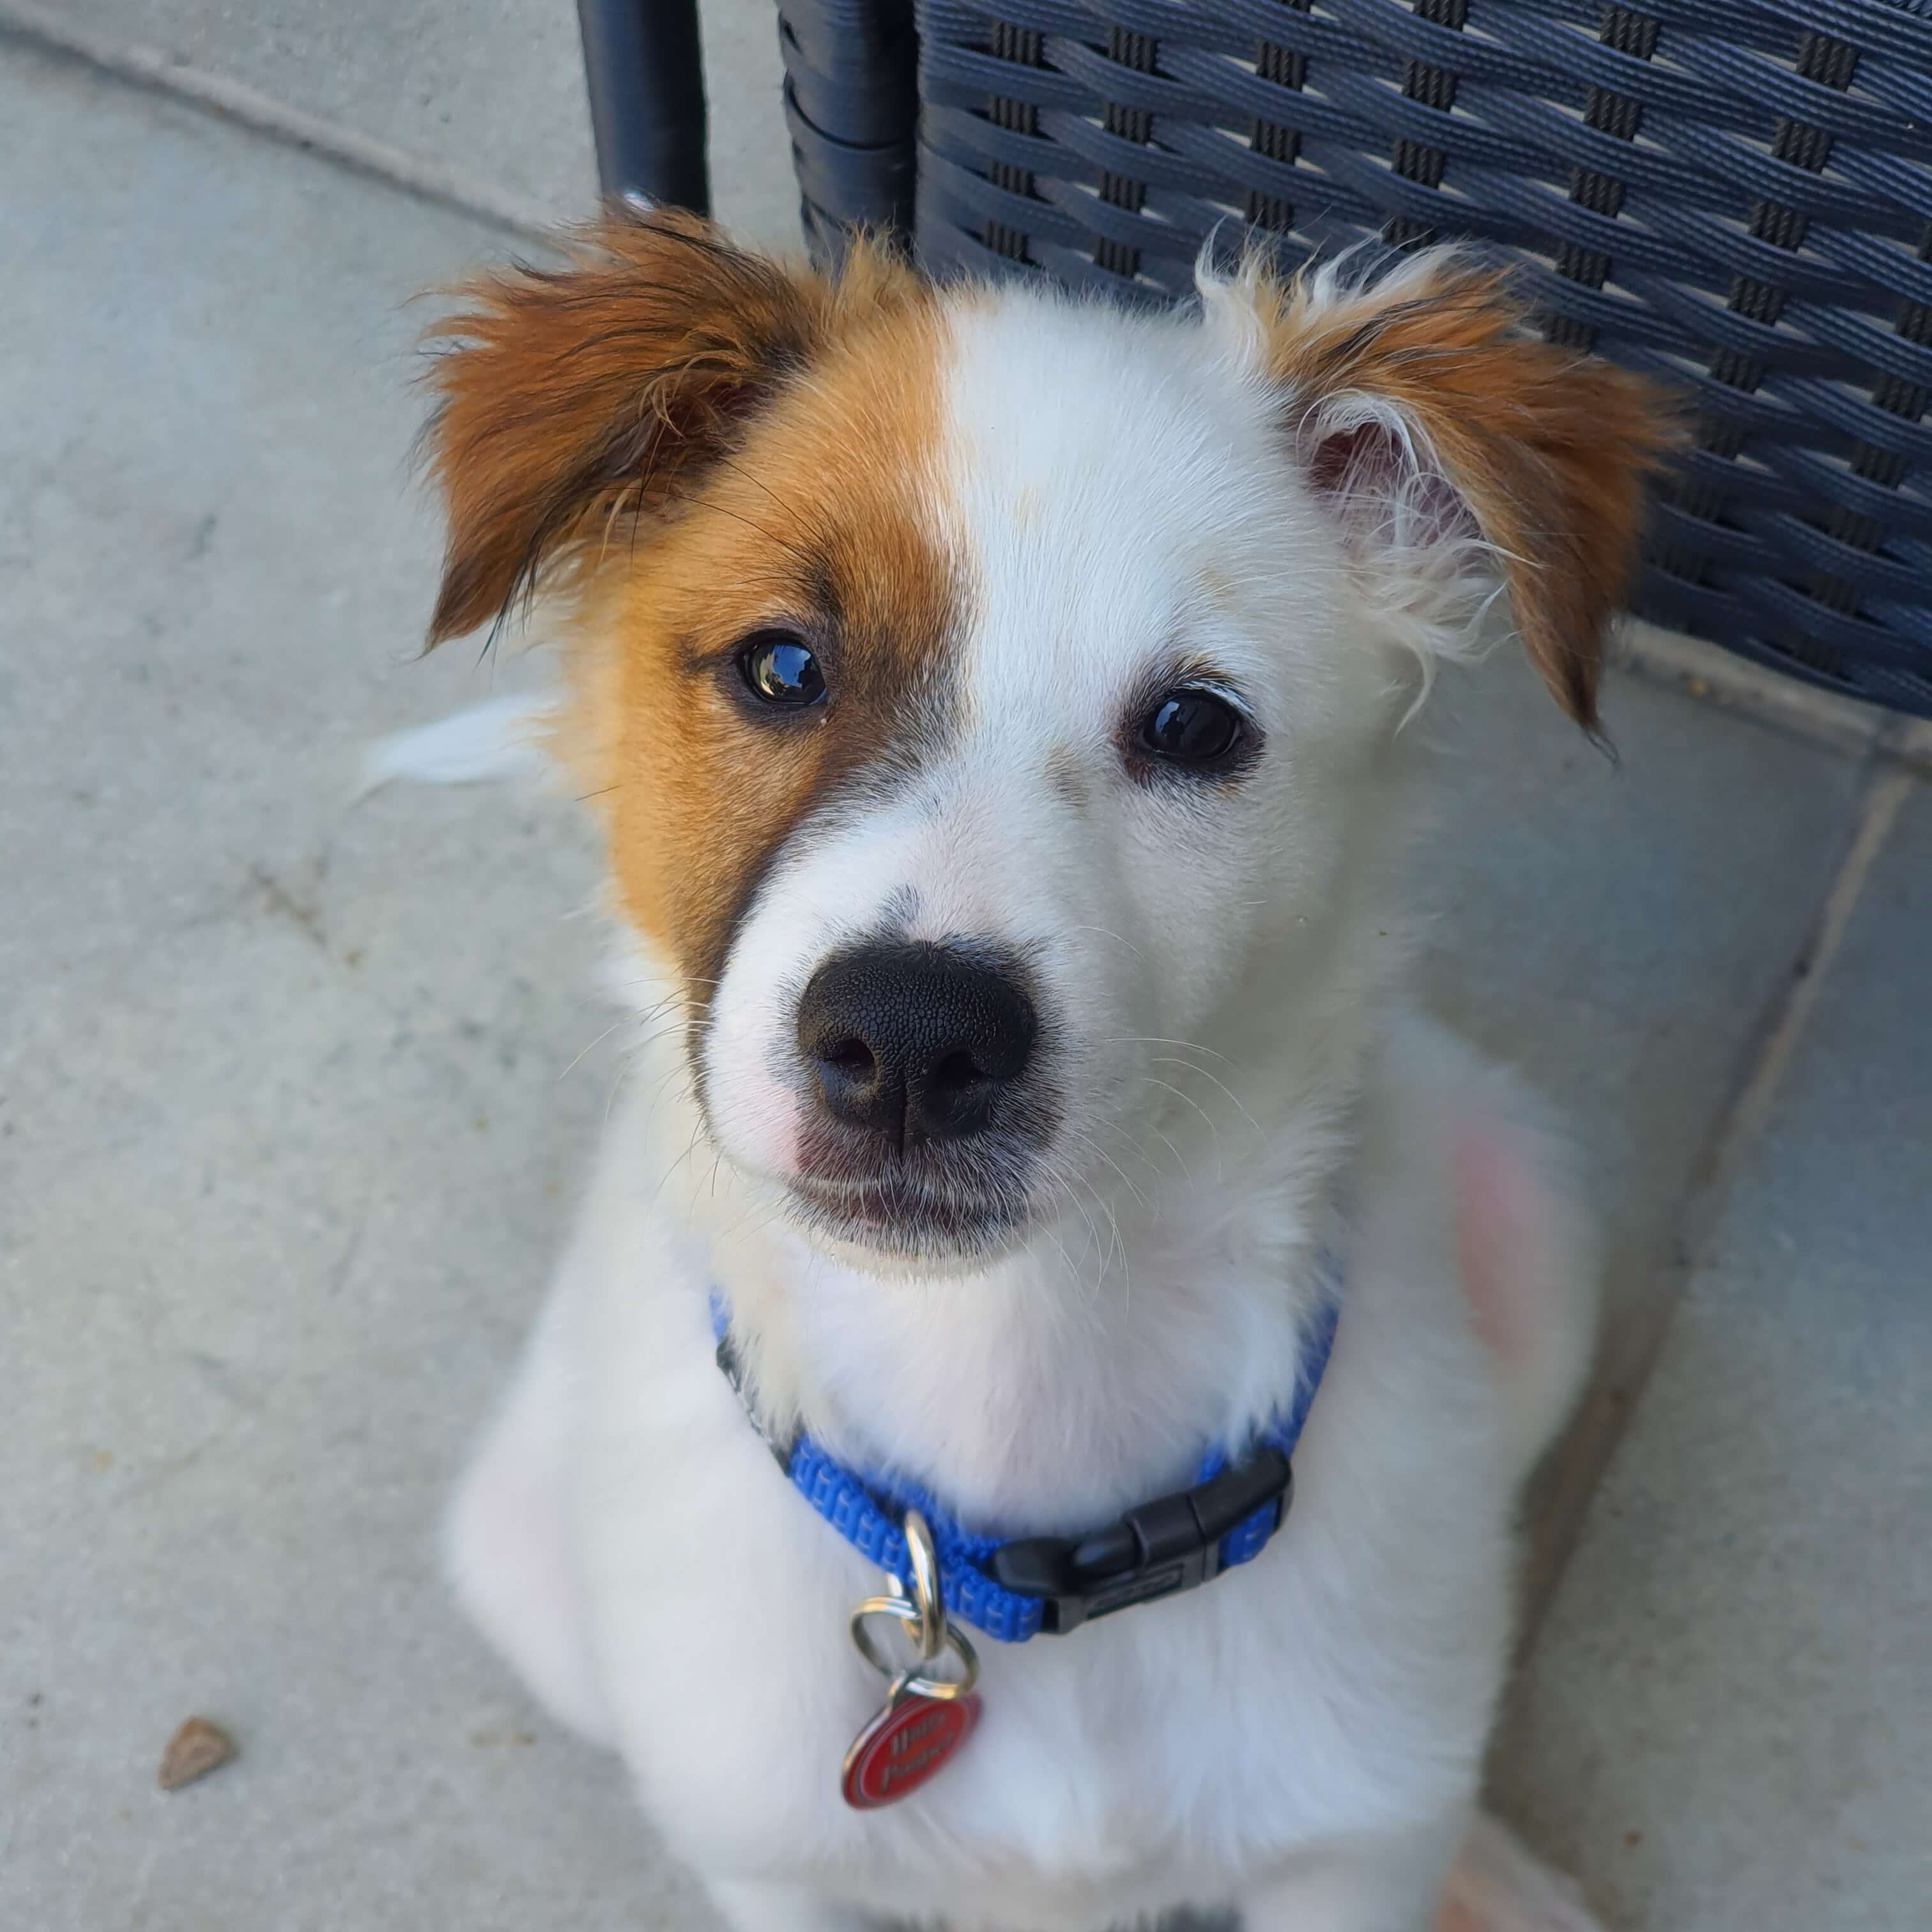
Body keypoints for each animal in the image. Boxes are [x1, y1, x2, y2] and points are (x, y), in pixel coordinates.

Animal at [411, 211, 1676, 1932]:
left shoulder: (1344, 1859)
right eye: (782, 667)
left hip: (1537, 1235)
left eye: (1197, 727)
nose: (911, 1041)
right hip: (526, 1574)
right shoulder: (770, 1864)